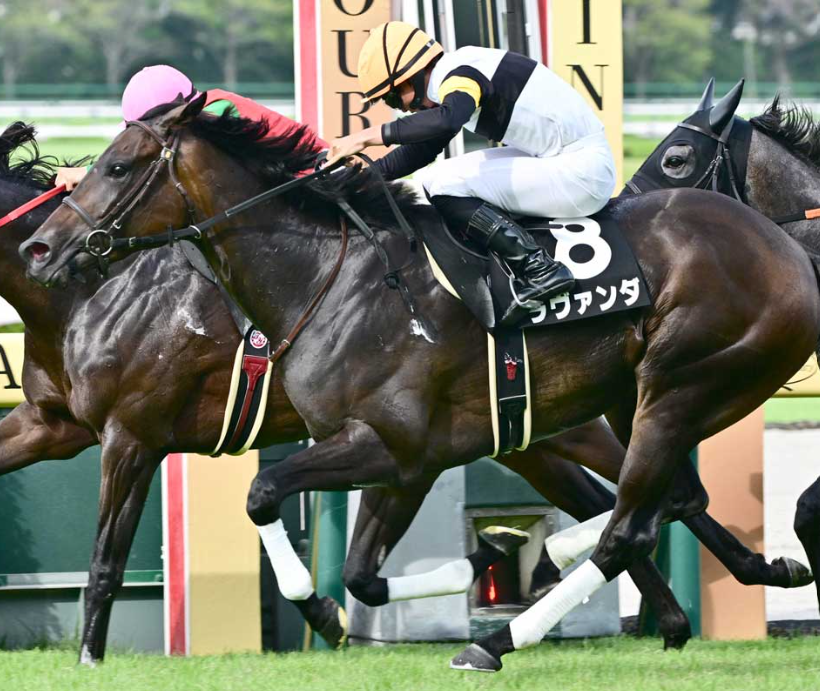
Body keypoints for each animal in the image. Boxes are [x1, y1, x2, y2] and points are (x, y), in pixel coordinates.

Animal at [20, 95, 820, 671]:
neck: (331, 275)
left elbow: (260, 493)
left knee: (628, 525)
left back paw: (495, 642)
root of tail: (783, 247)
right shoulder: (405, 460)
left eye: (119, 167)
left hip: (680, 386)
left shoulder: (388, 443)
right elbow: (358, 571)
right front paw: (378, 595)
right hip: (619, 404)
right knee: (658, 506)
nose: (40, 247)